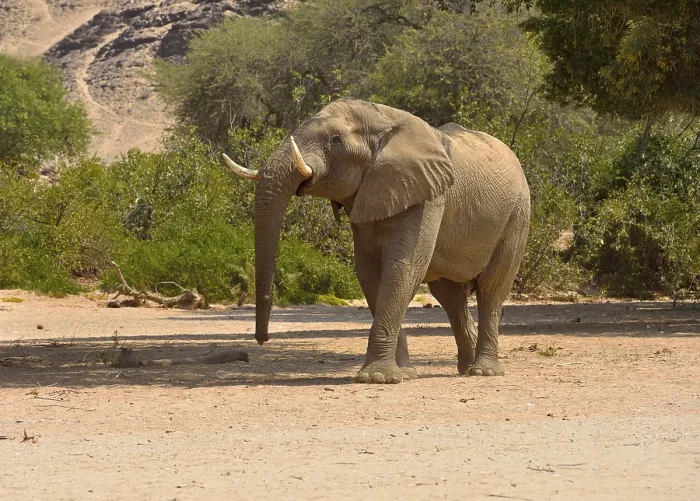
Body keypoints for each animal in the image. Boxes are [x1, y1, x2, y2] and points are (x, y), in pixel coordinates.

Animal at [224, 98, 530, 383]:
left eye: (335, 140)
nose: (262, 339)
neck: (385, 120)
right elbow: (370, 275)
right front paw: (402, 374)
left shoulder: (428, 197)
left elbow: (402, 269)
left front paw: (377, 378)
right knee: (450, 297)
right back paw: (466, 369)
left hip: (517, 215)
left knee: (491, 290)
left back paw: (483, 372)